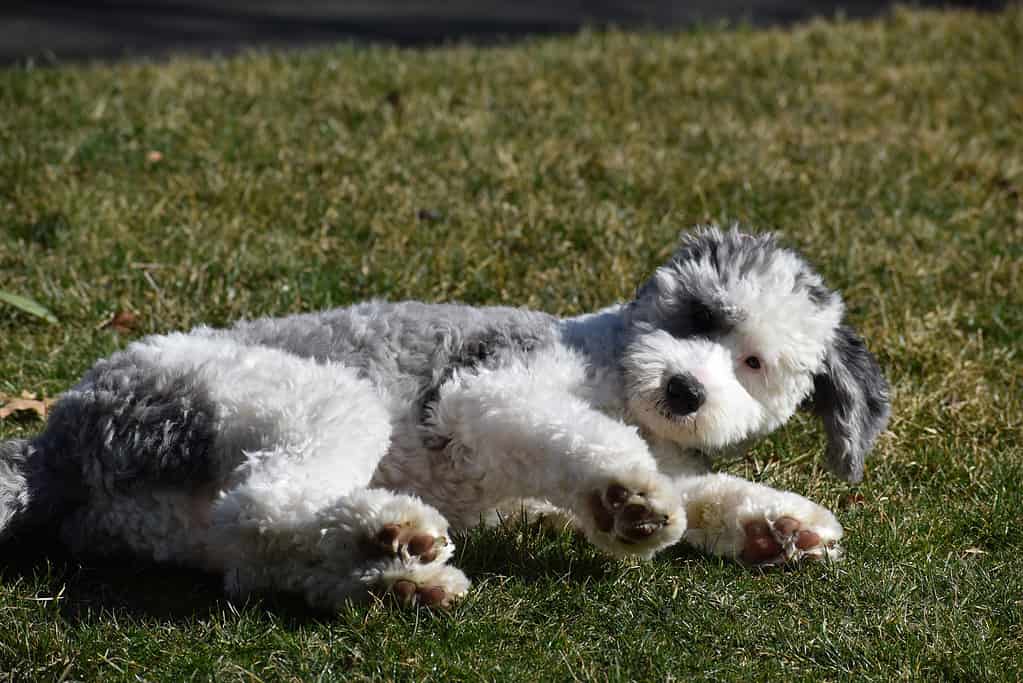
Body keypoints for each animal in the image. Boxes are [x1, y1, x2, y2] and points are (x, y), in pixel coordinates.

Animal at [0, 228, 887, 609]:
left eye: (753, 362)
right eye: (698, 314)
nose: (681, 391)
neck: (608, 359)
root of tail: (54, 442)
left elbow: (705, 491)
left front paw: (778, 526)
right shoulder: (485, 396)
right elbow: (594, 445)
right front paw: (628, 499)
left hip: (180, 524)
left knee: (253, 558)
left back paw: (401, 576)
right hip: (308, 399)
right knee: (263, 505)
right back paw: (393, 532)